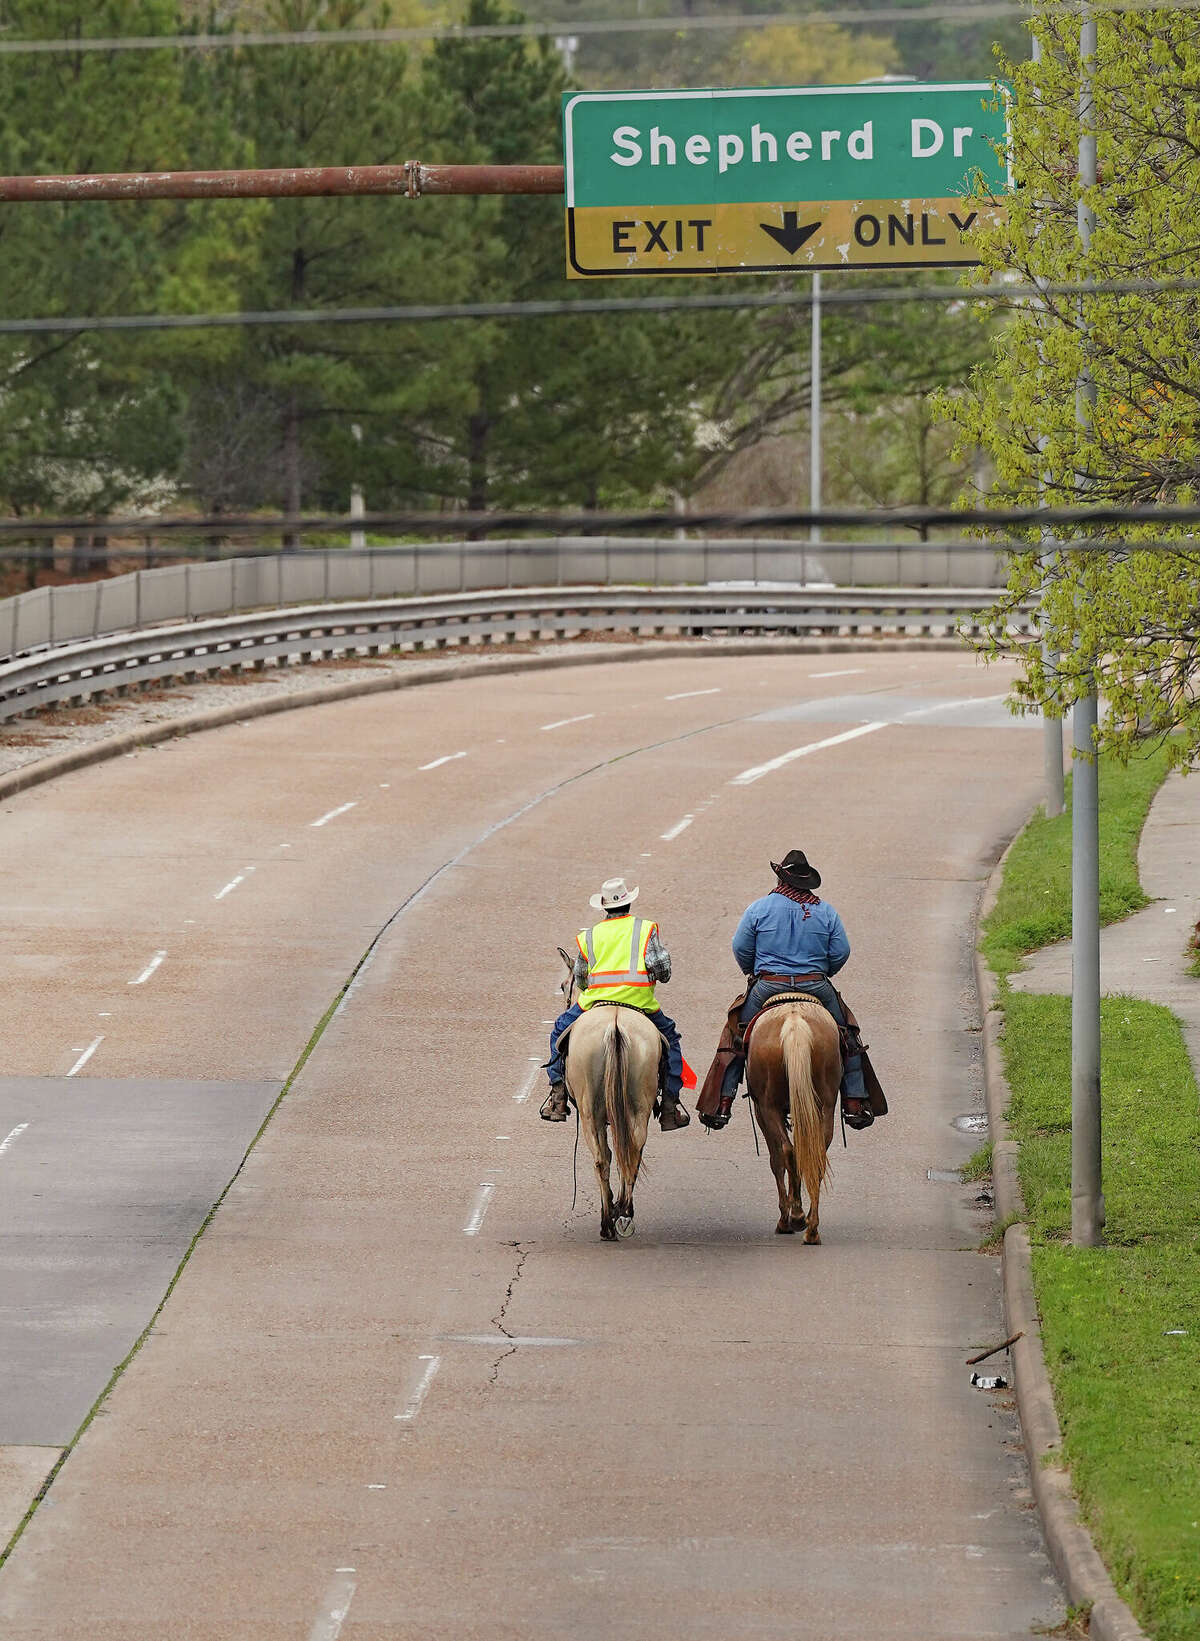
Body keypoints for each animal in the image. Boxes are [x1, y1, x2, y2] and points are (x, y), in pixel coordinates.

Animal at [558, 951, 663, 1240]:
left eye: (563, 985)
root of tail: (615, 1025)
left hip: (590, 1113)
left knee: (601, 1159)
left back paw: (608, 1222)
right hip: (639, 1107)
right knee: (633, 1150)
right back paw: (624, 1211)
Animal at [745, 997, 840, 1240]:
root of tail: (794, 1022)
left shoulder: (761, 1110)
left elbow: (776, 1160)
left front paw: (784, 1219)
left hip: (769, 1106)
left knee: (786, 1151)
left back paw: (795, 1218)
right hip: (825, 1105)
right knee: (816, 1153)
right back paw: (812, 1228)